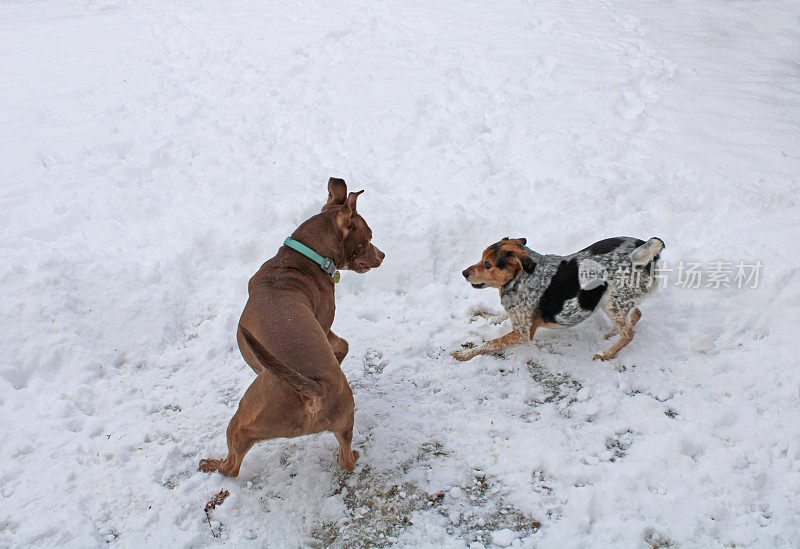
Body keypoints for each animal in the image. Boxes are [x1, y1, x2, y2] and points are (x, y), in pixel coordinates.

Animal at [198, 177, 382, 476]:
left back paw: (210, 465)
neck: (307, 257)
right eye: (367, 239)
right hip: (344, 420)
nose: (383, 255)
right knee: (346, 461)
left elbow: (341, 343)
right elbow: (342, 345)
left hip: (243, 420)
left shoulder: (325, 324)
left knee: (232, 465)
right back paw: (349, 455)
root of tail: (314, 390)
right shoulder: (324, 326)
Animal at [454, 234, 664, 360]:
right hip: (617, 299)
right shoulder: (517, 315)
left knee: (629, 333)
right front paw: (486, 317)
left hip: (612, 302)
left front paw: (464, 354)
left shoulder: (522, 333)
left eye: (488, 264)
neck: (521, 277)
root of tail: (650, 252)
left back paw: (606, 353)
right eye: (481, 258)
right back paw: (611, 333)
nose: (463, 273)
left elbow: (489, 343)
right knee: (635, 315)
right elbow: (501, 316)